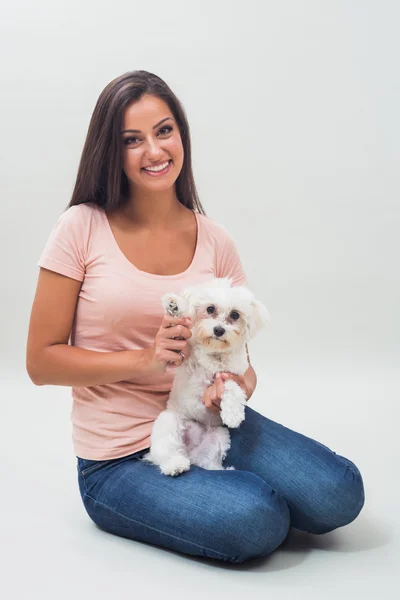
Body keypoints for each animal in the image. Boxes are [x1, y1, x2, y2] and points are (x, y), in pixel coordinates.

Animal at [142, 276, 270, 478]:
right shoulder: (185, 359)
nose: (218, 330)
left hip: (218, 437)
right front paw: (174, 305)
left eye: (235, 315)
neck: (215, 355)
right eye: (210, 309)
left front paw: (233, 414)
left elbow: (232, 388)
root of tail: (191, 452)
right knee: (166, 452)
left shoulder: (233, 374)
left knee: (209, 461)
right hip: (168, 422)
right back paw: (175, 464)